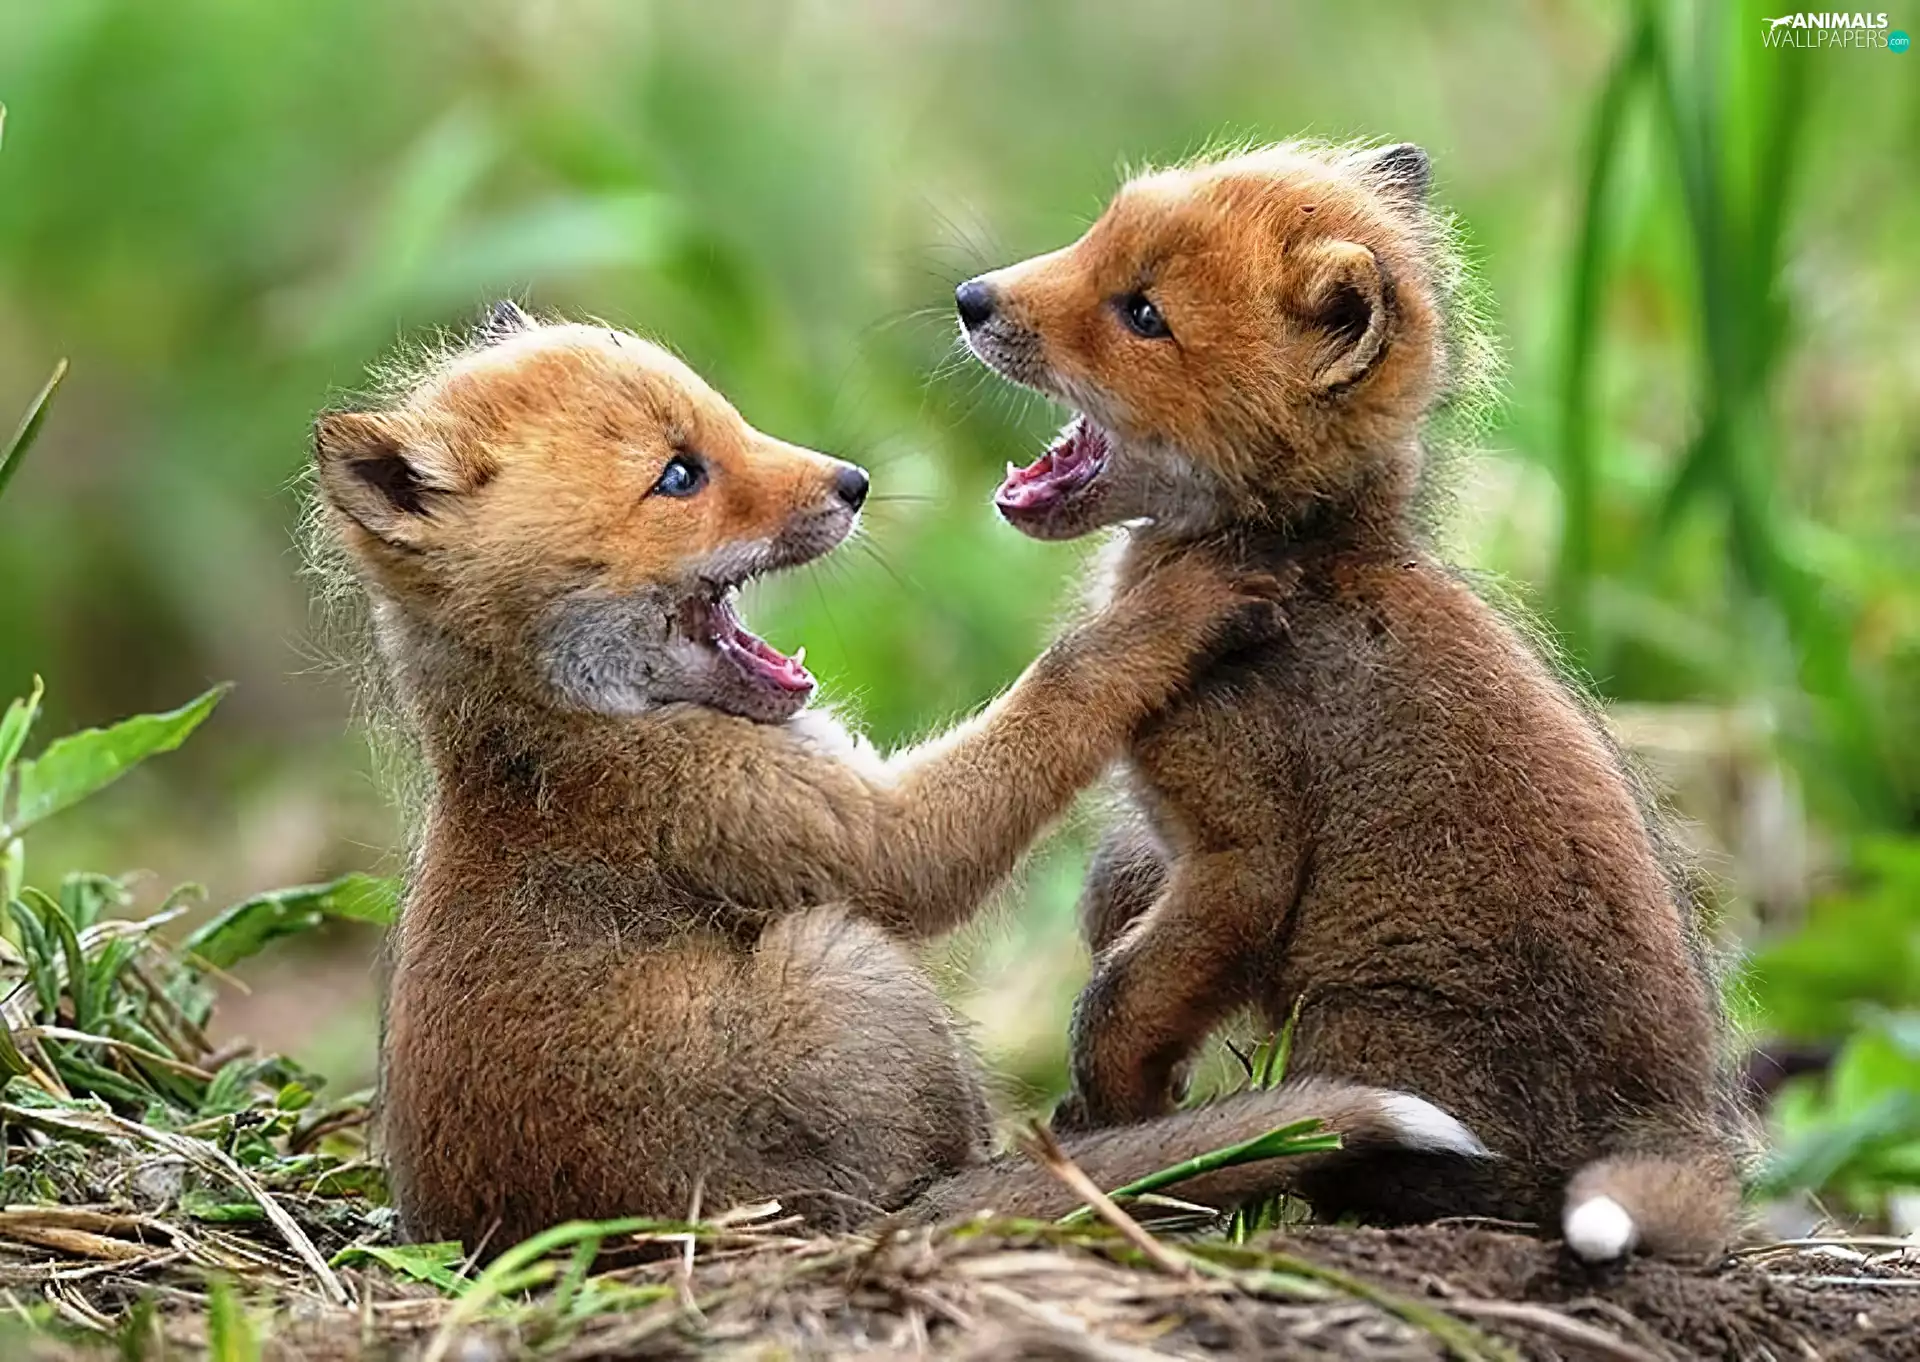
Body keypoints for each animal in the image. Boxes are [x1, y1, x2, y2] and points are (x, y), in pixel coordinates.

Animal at [308, 302, 1488, 1251]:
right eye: (680, 475)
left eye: (728, 422)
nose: (855, 482)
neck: (566, 732)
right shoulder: (814, 831)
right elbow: (1052, 696)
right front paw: (1166, 614)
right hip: (843, 965)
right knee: (942, 1175)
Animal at [955, 141, 1746, 1263]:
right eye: (1094, 236)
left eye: (1143, 313)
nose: (971, 298)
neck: (1303, 566)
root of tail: (1681, 1131)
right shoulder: (1167, 848)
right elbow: (1117, 910)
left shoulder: (1245, 854)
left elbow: (1116, 1006)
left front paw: (1116, 1131)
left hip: (1353, 1023)